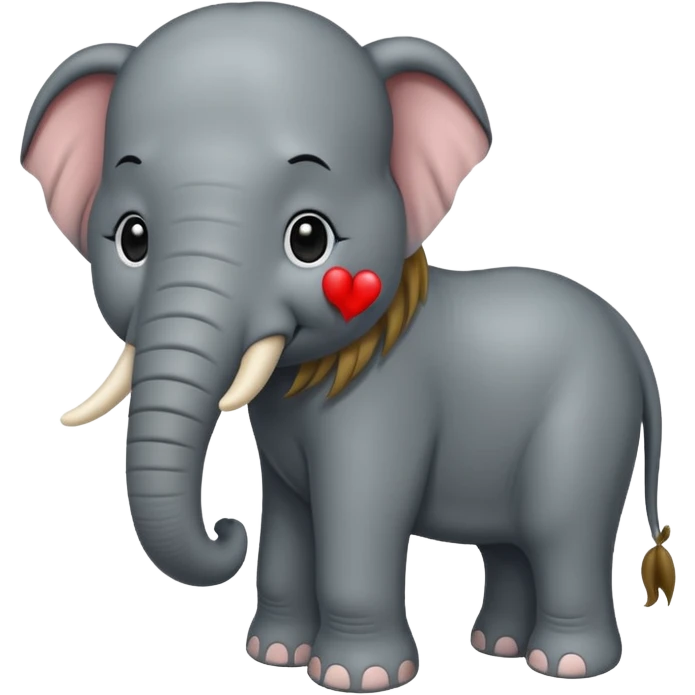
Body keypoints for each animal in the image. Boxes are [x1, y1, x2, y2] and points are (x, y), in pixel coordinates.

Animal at [21, 2, 672, 691]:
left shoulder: (381, 410)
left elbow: (359, 510)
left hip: (588, 420)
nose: (228, 529)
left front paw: (354, 677)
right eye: (132, 239)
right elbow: (287, 517)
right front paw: (276, 654)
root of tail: (635, 345)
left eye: (310, 238)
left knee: (560, 529)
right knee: (511, 544)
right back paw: (496, 645)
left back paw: (565, 663)